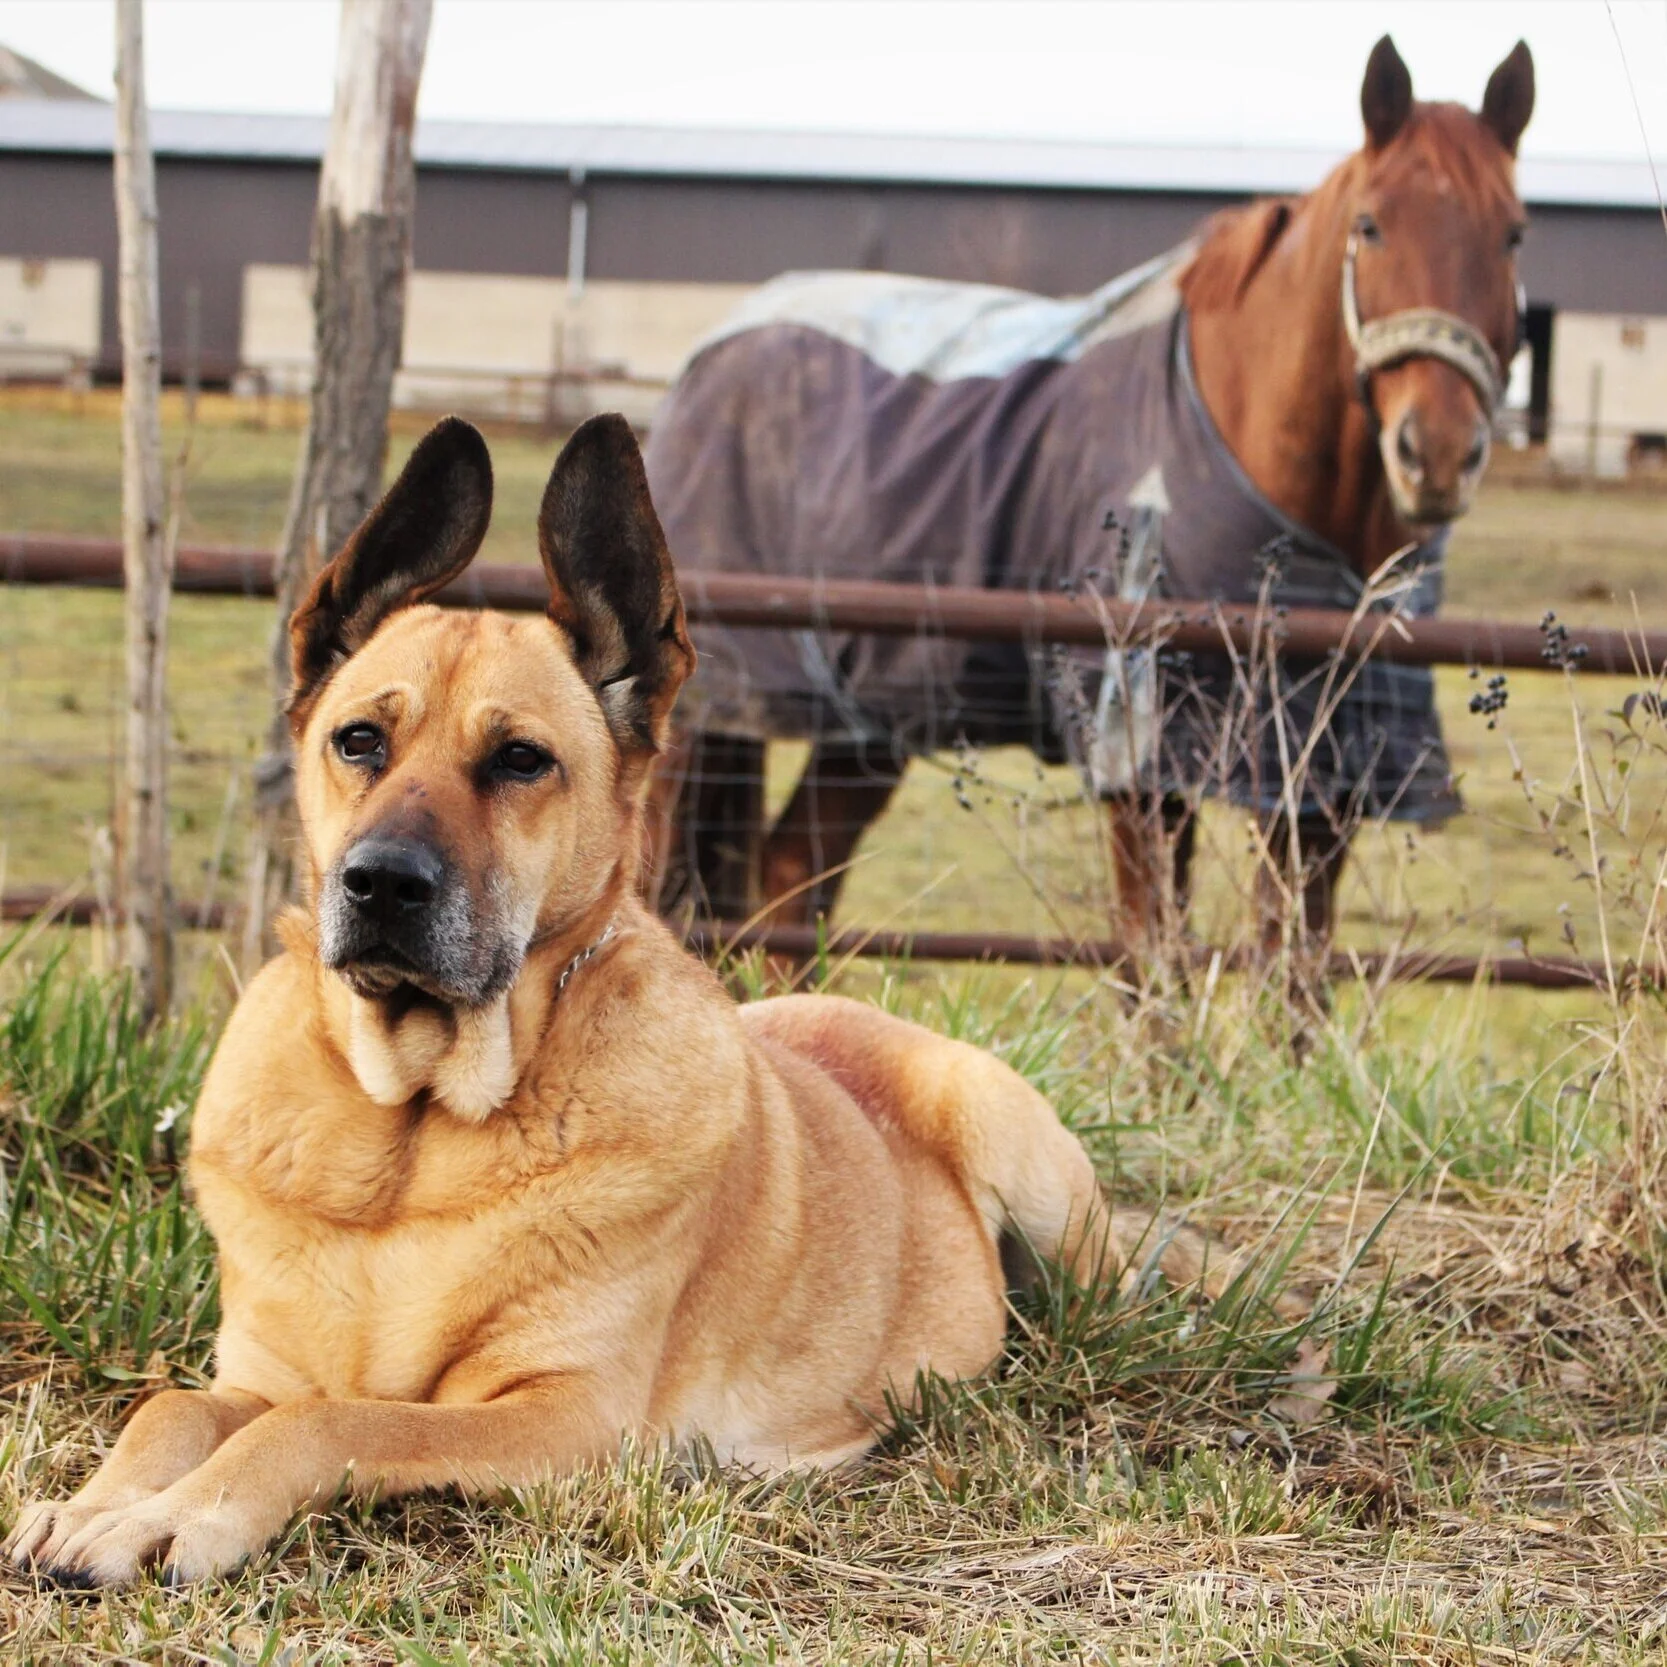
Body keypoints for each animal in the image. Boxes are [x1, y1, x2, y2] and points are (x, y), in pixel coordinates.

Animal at [642, 36, 1535, 964]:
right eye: (1369, 224)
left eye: (1512, 233)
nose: (1437, 454)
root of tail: (709, 359)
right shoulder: (1140, 765)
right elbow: (1154, 960)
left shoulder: (1321, 776)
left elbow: (1295, 965)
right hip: (705, 722)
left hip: (867, 720)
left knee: (794, 871)